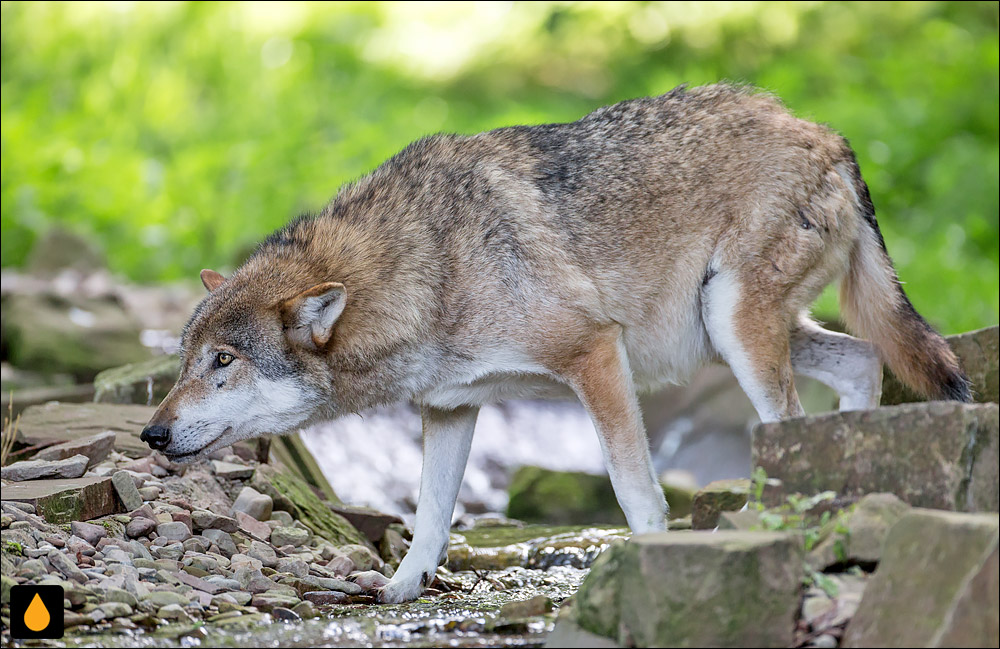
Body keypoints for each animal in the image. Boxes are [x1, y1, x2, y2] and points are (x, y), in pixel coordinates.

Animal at [139, 82, 968, 604]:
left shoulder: (594, 354)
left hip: (735, 330)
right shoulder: (450, 409)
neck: (429, 265)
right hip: (730, 336)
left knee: (795, 416)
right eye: (185, 357)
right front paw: (402, 587)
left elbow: (635, 490)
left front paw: (650, 567)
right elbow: (431, 514)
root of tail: (825, 131)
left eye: (223, 361)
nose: (150, 433)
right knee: (862, 361)